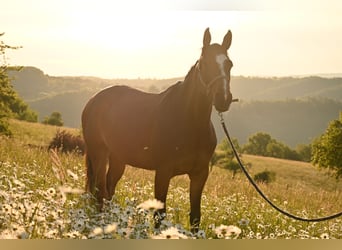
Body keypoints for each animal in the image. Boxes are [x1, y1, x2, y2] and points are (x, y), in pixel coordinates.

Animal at [81, 28, 234, 231]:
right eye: (205, 63)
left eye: (229, 64)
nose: (223, 99)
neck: (190, 124)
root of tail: (94, 100)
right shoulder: (163, 172)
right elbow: (160, 215)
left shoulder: (200, 174)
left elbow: (195, 217)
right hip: (99, 153)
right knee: (100, 192)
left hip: (118, 158)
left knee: (108, 189)